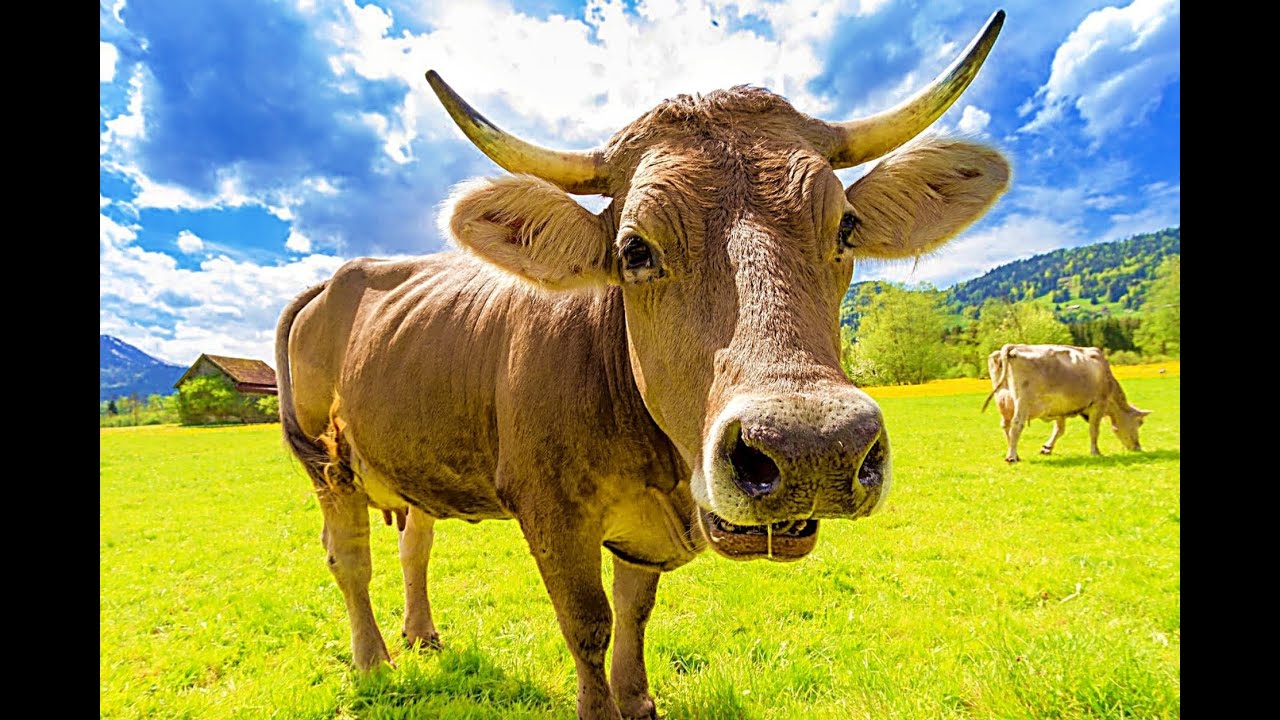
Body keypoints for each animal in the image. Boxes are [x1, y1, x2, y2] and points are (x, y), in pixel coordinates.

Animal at [276, 11, 1010, 719]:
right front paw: (600, 706)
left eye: (846, 227)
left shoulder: (644, 530)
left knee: (415, 541)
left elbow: (634, 611)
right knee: (350, 560)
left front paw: (637, 699)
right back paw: (374, 660)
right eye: (634, 249)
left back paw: (422, 634)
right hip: (327, 464)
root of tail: (335, 279)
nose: (812, 448)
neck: (659, 466)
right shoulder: (551, 512)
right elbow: (588, 624)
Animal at [981, 343, 1151, 463]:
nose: (1138, 448)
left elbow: (1059, 430)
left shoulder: (1059, 408)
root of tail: (1014, 346)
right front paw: (1095, 452)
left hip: (1004, 400)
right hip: (1022, 401)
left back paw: (1015, 453)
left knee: (1006, 426)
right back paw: (1011, 457)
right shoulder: (1098, 404)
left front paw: (1047, 448)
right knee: (1016, 425)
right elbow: (1094, 430)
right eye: (1139, 423)